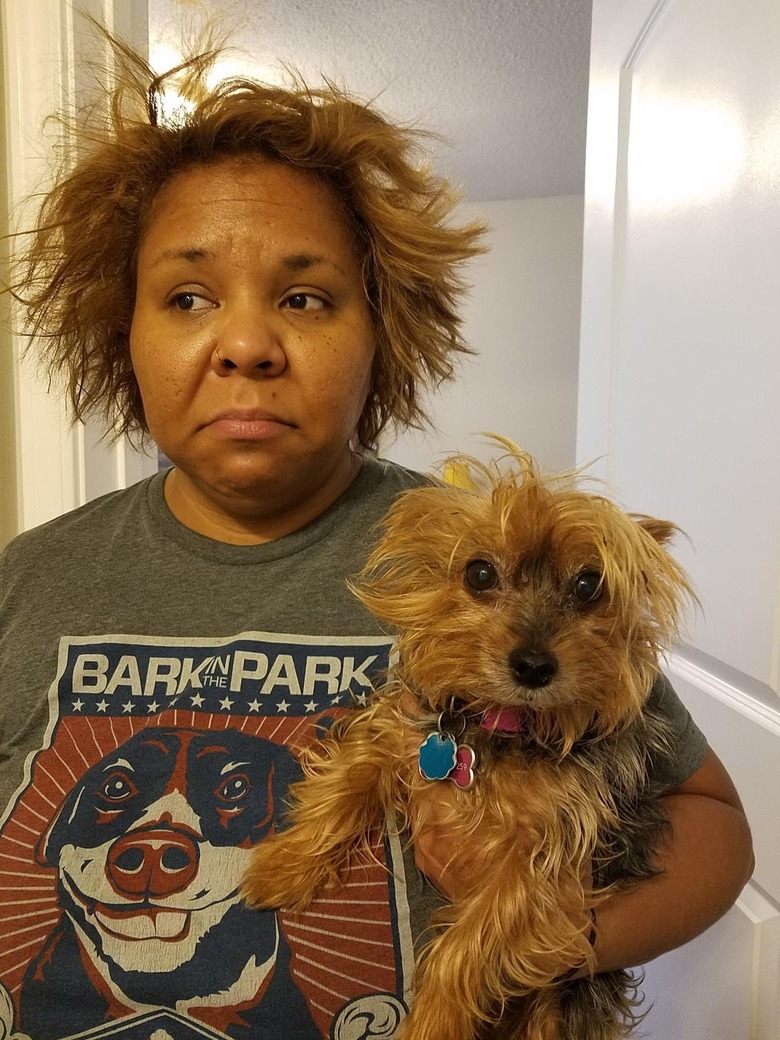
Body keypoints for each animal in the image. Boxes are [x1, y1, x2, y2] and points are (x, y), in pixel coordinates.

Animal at [244, 443, 694, 1035]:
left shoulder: (543, 860)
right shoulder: (398, 733)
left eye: (588, 585)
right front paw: (283, 866)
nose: (533, 665)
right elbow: (347, 780)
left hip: (562, 1005)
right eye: (479, 572)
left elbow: (472, 942)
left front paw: (433, 1019)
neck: (497, 725)